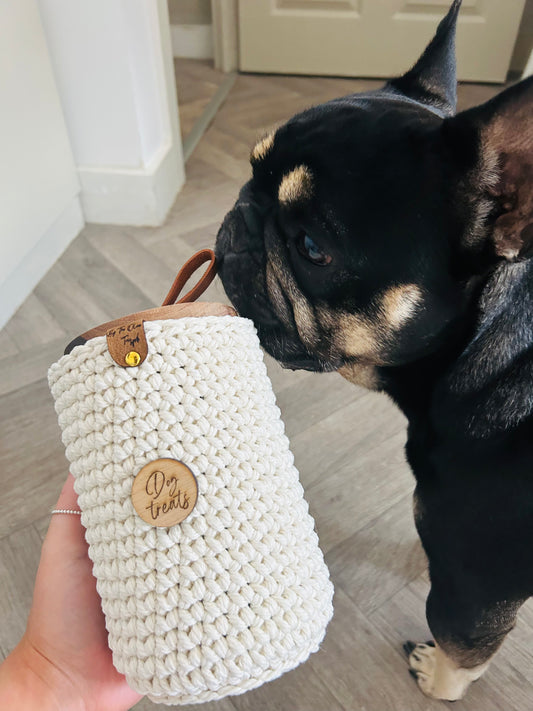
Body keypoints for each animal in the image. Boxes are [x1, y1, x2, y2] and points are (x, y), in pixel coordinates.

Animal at [213, 0, 532, 700]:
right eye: (249, 170)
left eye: (311, 247)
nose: (238, 215)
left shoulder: (477, 587)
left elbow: (461, 645)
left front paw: (438, 682)